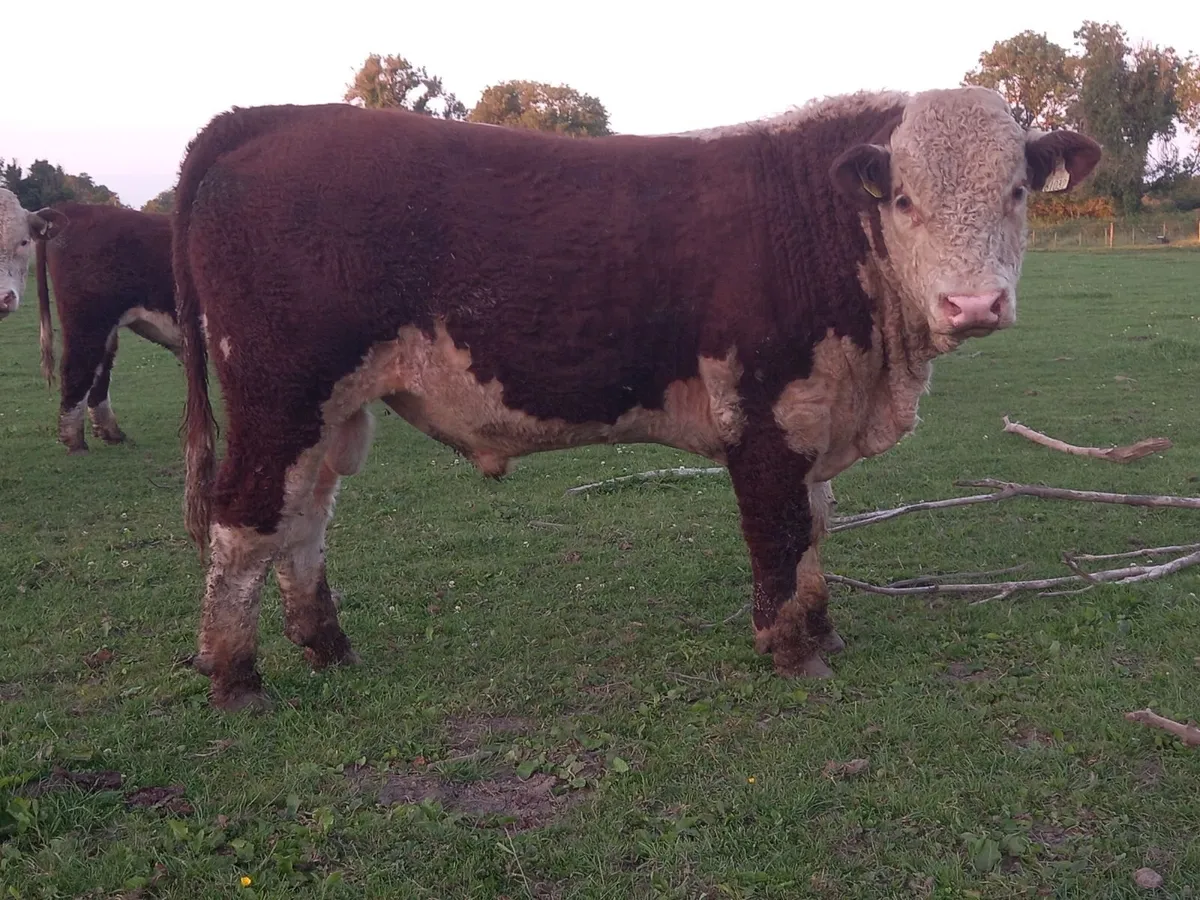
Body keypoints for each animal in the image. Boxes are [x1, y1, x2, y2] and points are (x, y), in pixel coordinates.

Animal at [34, 203, 181, 453]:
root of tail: (75, 208)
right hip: (88, 322)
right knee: (78, 368)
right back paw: (75, 442)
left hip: (105, 329)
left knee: (99, 373)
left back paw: (112, 433)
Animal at [172, 87, 1100, 711]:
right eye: (905, 198)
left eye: (1017, 190)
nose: (973, 305)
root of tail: (269, 118)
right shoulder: (764, 414)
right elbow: (781, 530)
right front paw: (792, 651)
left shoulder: (817, 410)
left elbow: (817, 525)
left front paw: (823, 626)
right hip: (278, 395)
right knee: (243, 521)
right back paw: (236, 676)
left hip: (330, 412)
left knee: (303, 522)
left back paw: (327, 647)